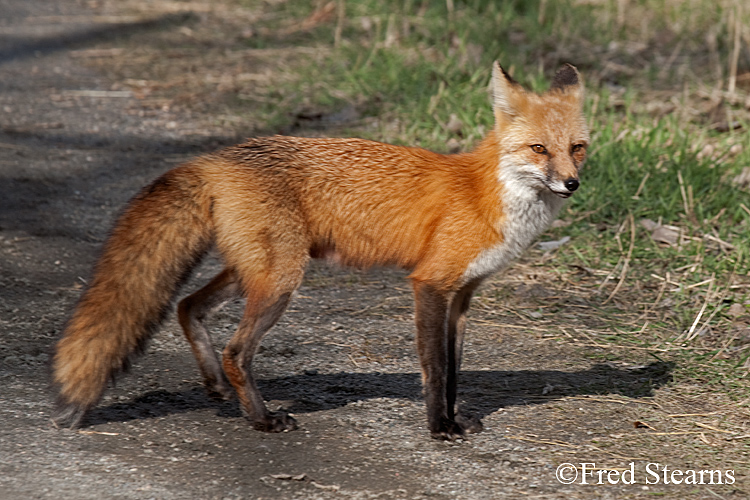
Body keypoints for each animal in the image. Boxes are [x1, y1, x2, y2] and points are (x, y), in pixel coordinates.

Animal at [53, 61, 592, 438]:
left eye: (577, 147)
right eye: (539, 149)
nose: (572, 184)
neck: (487, 195)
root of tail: (216, 159)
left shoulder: (462, 296)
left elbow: (455, 369)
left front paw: (455, 418)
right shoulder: (430, 284)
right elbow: (435, 368)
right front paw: (440, 428)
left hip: (256, 270)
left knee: (188, 307)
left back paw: (218, 389)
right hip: (281, 280)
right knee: (235, 350)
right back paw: (262, 419)